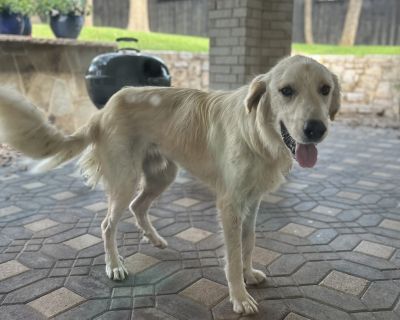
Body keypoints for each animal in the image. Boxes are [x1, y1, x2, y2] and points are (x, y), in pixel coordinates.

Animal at [0, 54, 340, 312]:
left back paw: (155, 240)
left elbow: (249, 242)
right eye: (286, 91)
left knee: (138, 206)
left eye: (324, 89)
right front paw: (239, 296)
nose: (316, 129)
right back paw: (115, 265)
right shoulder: (229, 205)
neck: (257, 133)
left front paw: (248, 273)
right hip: (125, 180)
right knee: (108, 224)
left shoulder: (252, 201)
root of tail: (106, 107)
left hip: (162, 175)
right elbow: (232, 256)